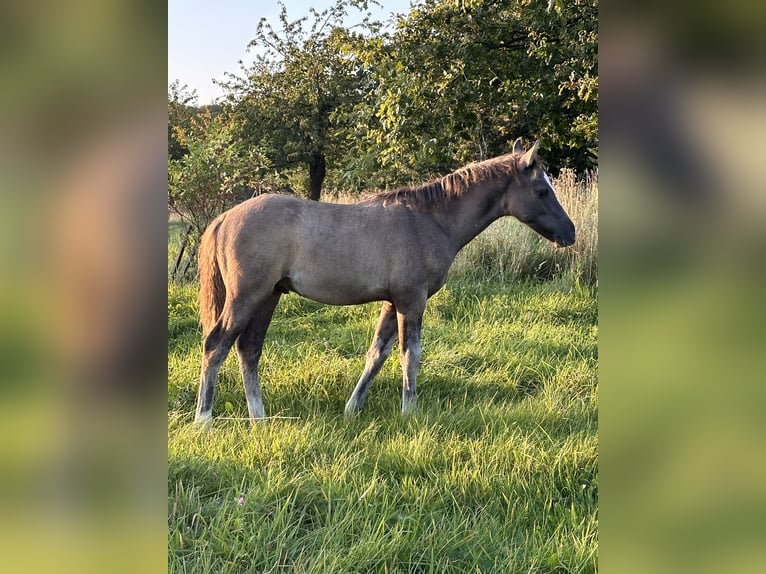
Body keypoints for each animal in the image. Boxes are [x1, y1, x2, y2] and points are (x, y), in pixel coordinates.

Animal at [194, 140, 576, 426]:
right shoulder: (411, 300)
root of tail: (224, 218)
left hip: (269, 296)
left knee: (249, 350)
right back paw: (203, 419)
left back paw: (259, 418)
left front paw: (352, 408)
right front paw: (410, 412)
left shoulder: (393, 302)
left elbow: (377, 353)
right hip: (246, 297)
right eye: (541, 190)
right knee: (217, 344)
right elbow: (411, 354)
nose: (569, 233)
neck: (429, 221)